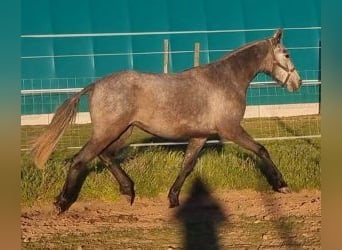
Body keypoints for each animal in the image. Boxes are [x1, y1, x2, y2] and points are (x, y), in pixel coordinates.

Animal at [30, 29, 302, 213]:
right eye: (287, 54)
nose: (297, 83)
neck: (226, 79)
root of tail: (95, 85)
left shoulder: (200, 136)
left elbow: (187, 166)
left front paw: (173, 198)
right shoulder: (231, 129)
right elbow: (261, 150)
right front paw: (282, 185)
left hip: (124, 132)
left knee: (105, 156)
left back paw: (128, 191)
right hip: (109, 132)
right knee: (80, 160)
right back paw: (61, 203)